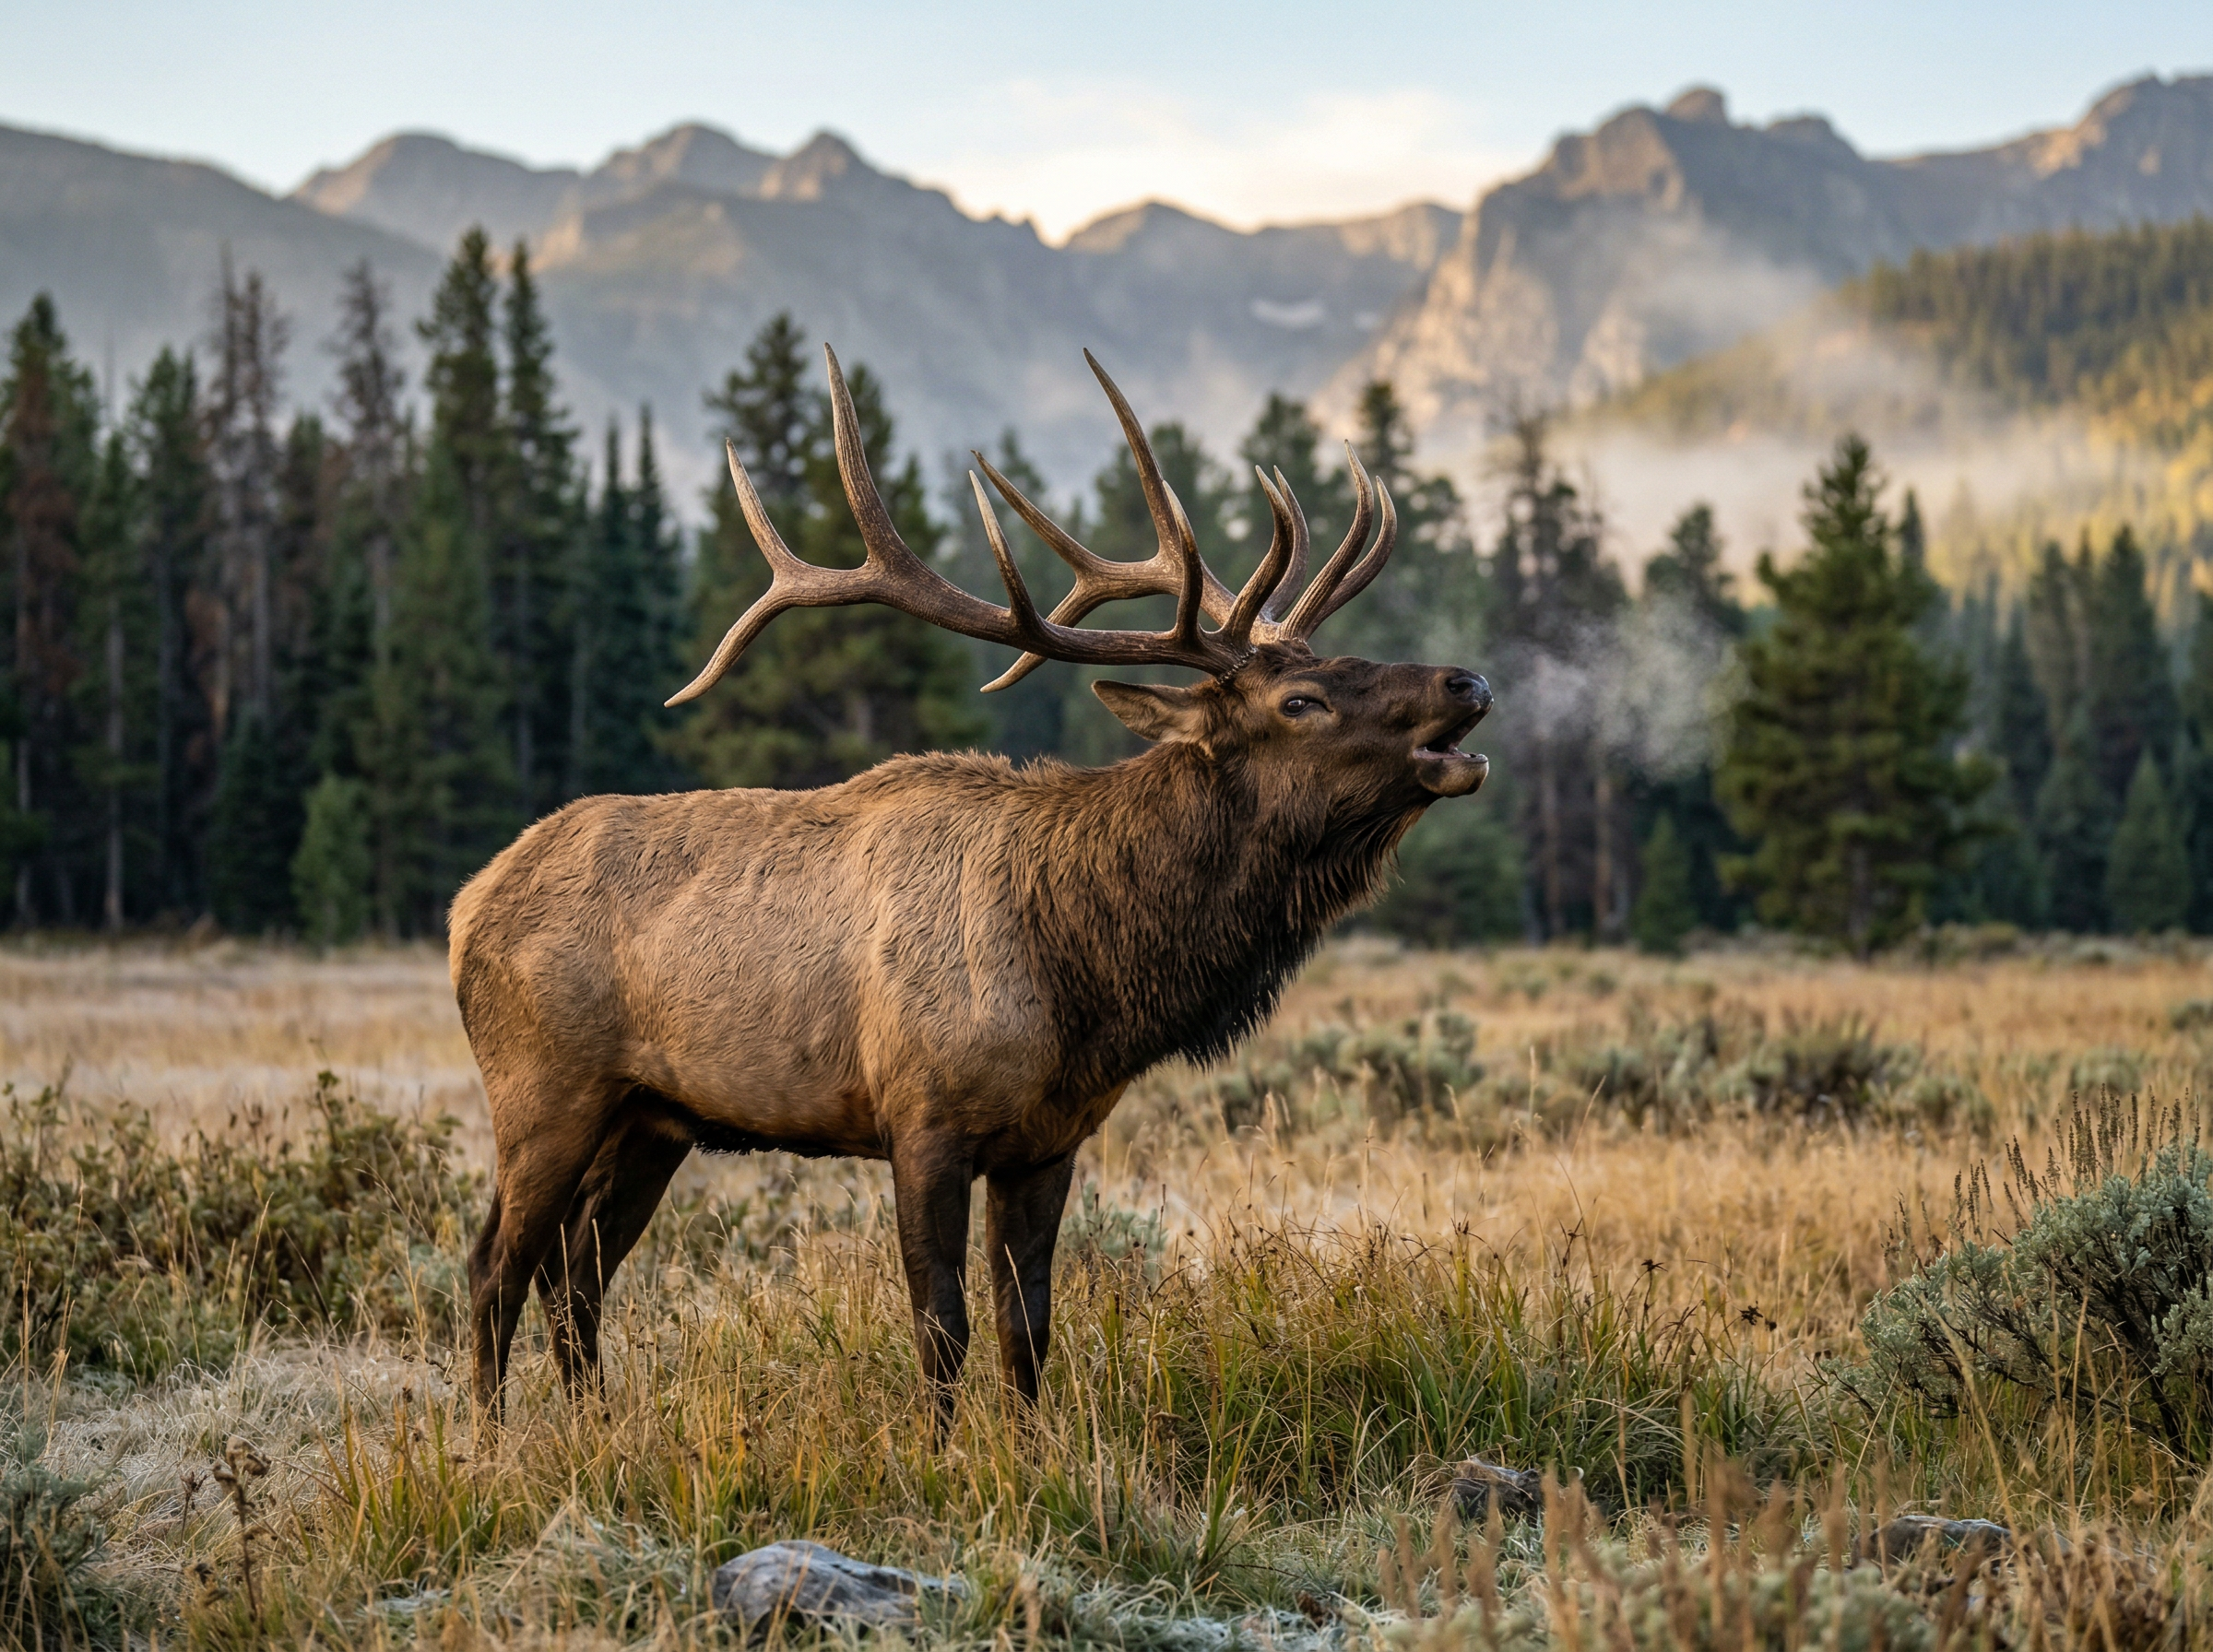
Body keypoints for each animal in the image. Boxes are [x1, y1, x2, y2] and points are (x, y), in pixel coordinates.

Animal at [449, 346, 1492, 1424]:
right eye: (1302, 699)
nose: (1468, 683)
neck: (1084, 977)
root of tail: (466, 904)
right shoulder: (922, 1118)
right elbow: (940, 1327)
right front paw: (941, 1450)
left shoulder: (1048, 1141)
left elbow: (1027, 1328)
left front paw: (1031, 1449)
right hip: (543, 1087)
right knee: (496, 1266)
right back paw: (492, 1440)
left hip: (653, 1116)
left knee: (578, 1274)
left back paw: (593, 1426)